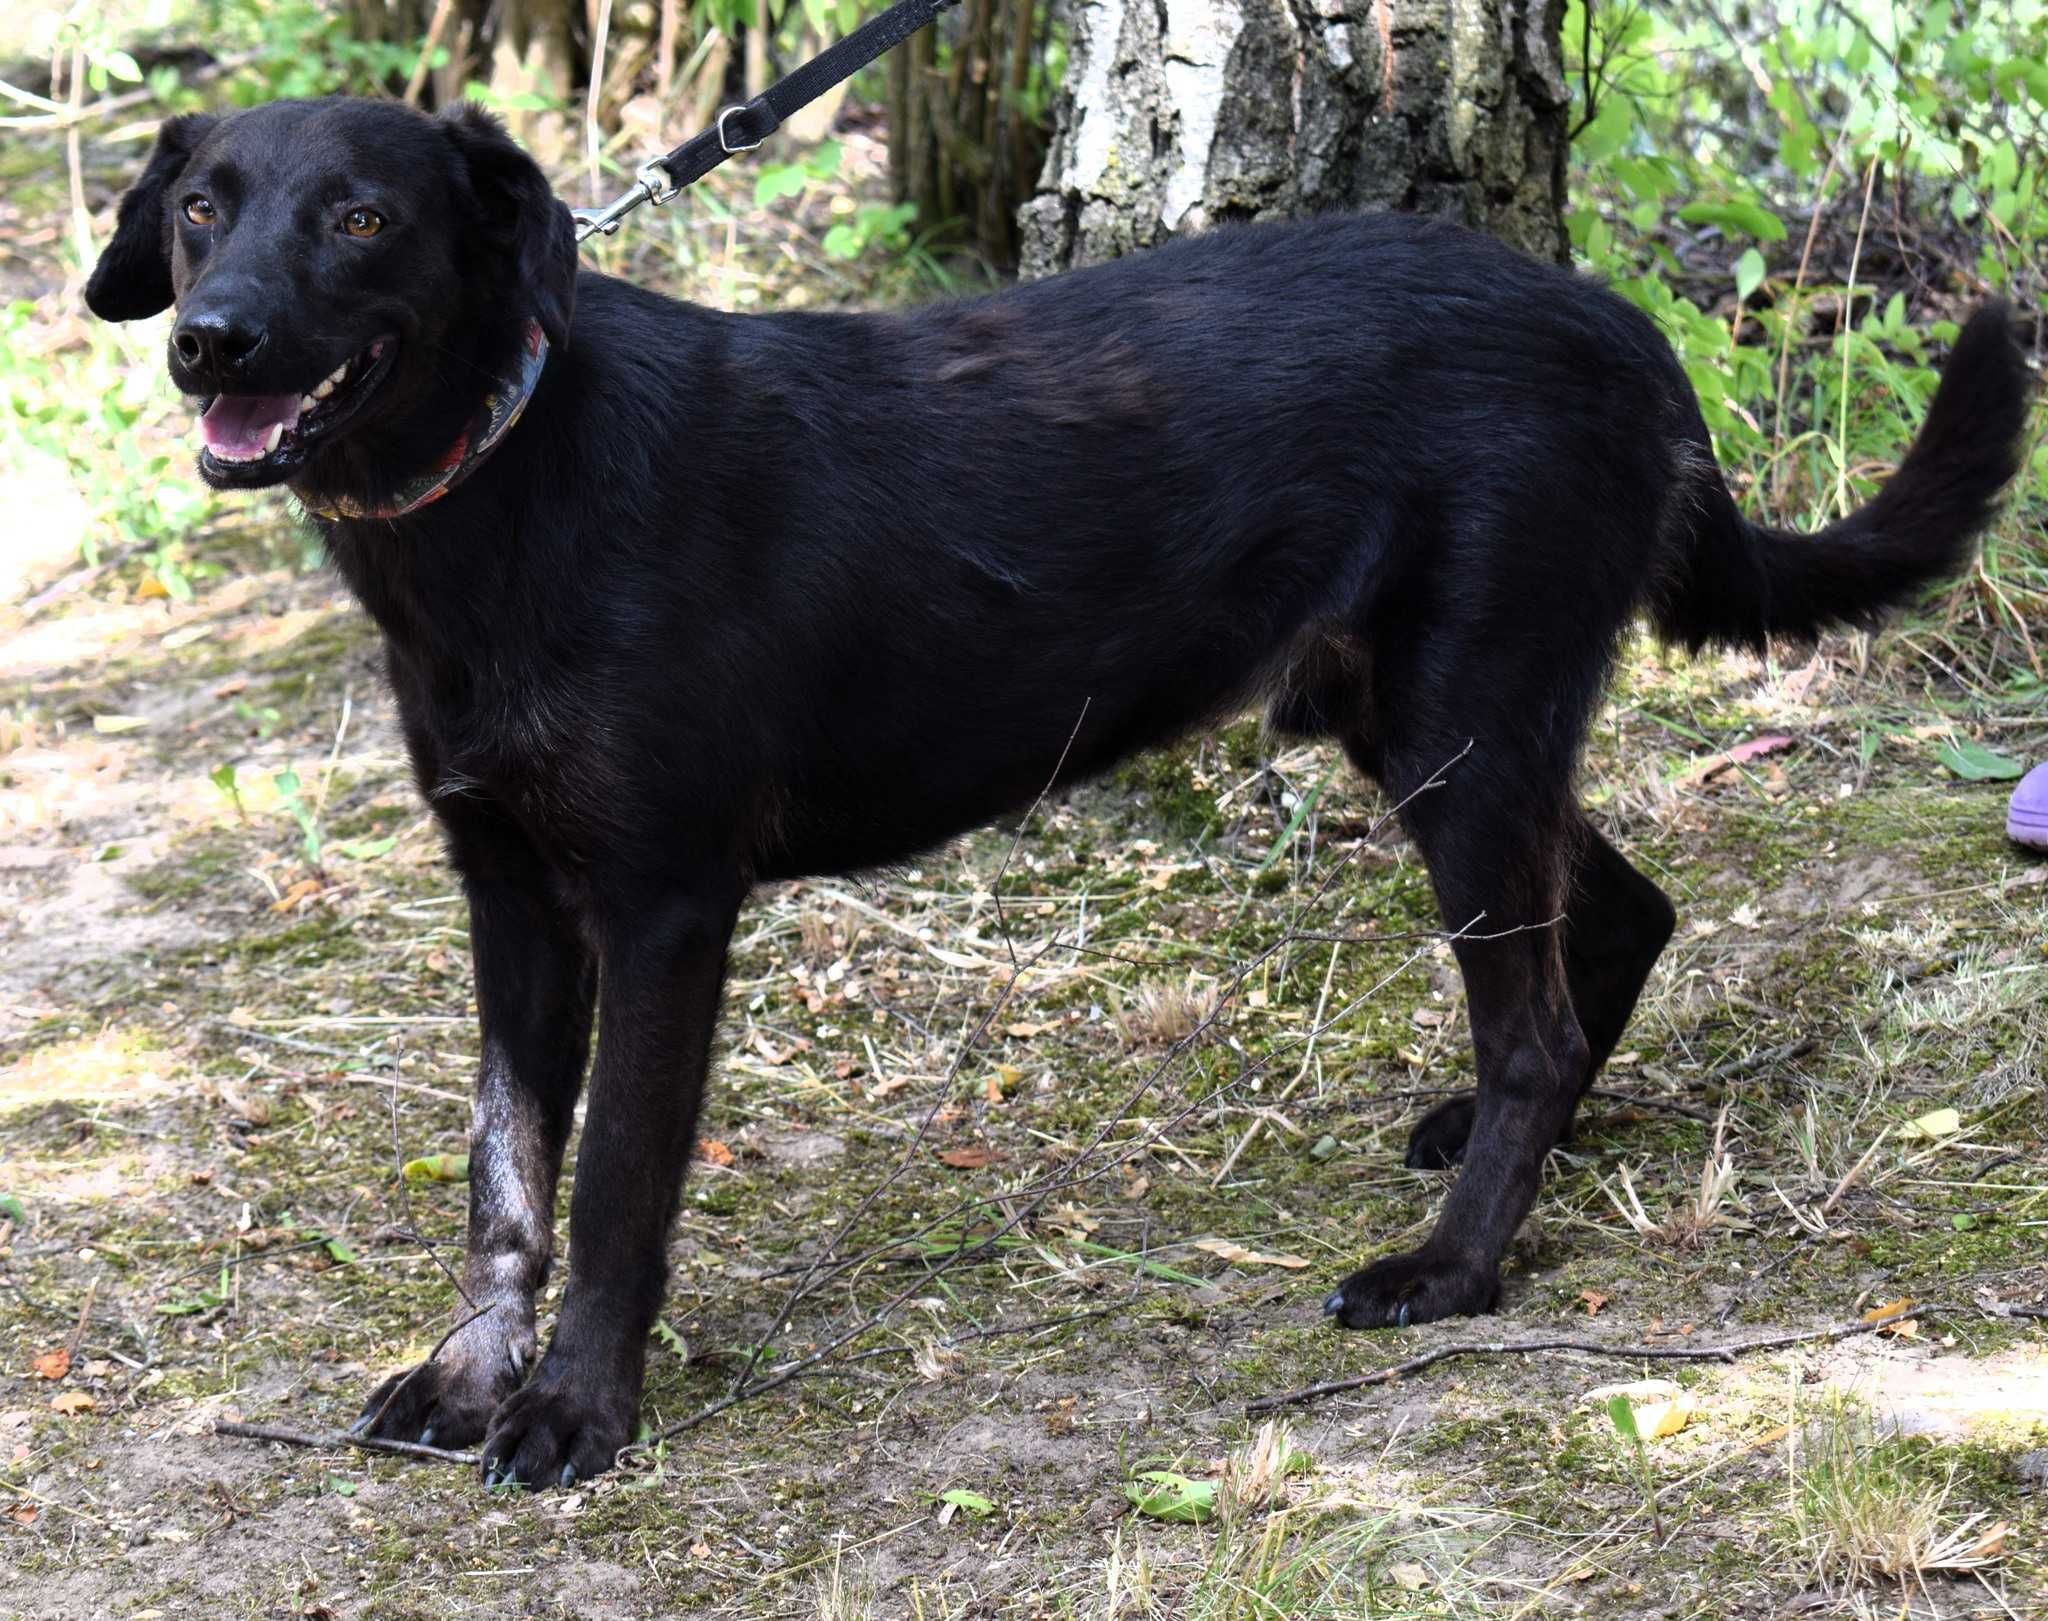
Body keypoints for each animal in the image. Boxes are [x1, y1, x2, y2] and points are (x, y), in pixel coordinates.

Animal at [83, 95, 2031, 1490]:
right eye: (199, 207)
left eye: (363, 215)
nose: (210, 339)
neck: (502, 486)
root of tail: (1620, 324)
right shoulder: (508, 896)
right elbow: (505, 1167)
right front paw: (472, 1379)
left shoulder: (661, 907)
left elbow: (618, 1181)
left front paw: (575, 1414)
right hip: (1429, 721)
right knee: (1613, 916)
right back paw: (1488, 1146)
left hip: (1460, 725)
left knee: (1535, 1016)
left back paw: (1453, 1266)